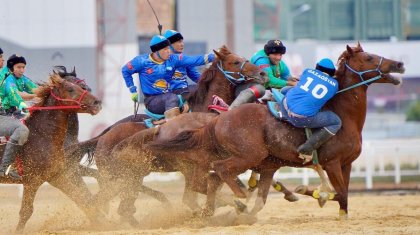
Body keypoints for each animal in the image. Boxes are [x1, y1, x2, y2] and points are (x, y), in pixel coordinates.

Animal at [0, 72, 104, 232]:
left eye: (82, 86)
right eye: (70, 88)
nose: (97, 102)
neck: (41, 136)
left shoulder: (57, 175)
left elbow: (81, 197)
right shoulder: (32, 180)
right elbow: (26, 212)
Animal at [89, 45, 270, 227]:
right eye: (235, 62)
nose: (262, 73)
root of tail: (102, 138)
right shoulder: (191, 167)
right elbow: (199, 194)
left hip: (133, 177)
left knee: (120, 207)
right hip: (122, 177)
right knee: (111, 203)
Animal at [148, 42, 406, 218]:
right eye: (369, 57)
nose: (400, 64)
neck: (342, 113)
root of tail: (219, 119)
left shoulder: (346, 164)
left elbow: (344, 197)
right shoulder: (332, 163)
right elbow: (340, 193)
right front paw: (314, 193)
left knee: (210, 182)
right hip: (246, 155)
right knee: (218, 173)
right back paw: (238, 198)